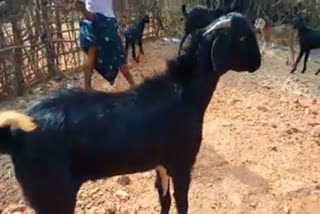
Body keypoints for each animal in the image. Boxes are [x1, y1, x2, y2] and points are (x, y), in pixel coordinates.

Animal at [0, 12, 260, 214]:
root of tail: (14, 135)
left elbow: (164, 200)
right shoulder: (181, 164)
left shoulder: (161, 164)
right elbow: (182, 204)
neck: (184, 92)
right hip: (52, 194)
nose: (258, 62)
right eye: (244, 37)